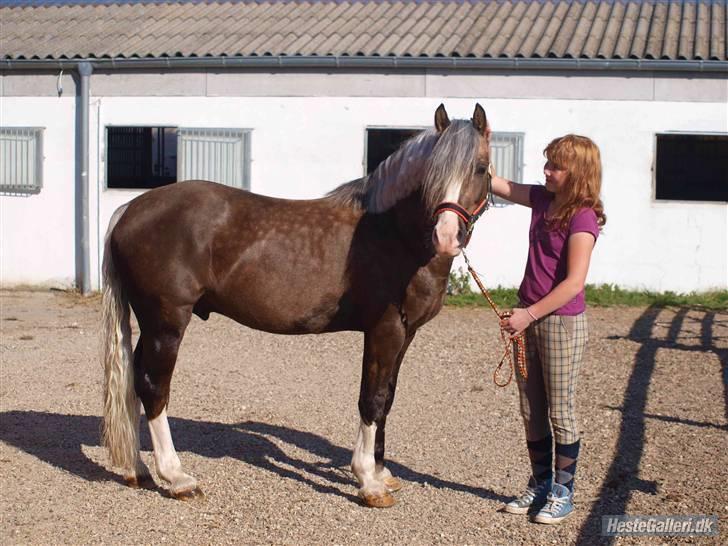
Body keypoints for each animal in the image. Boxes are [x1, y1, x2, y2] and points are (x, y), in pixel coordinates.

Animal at [101, 103, 491, 508]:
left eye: (480, 167)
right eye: (433, 174)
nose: (446, 235)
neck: (394, 234)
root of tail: (129, 209)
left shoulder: (406, 333)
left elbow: (388, 398)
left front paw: (382, 473)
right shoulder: (385, 331)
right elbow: (373, 399)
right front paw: (368, 481)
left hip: (152, 325)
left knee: (134, 382)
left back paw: (137, 469)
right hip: (166, 324)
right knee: (153, 387)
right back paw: (176, 477)